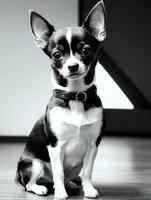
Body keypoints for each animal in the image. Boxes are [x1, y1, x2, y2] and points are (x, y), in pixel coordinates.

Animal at [15, 1, 106, 198]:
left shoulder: (92, 146)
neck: (76, 96)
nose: (72, 66)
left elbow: (87, 172)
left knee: (69, 176)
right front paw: (60, 194)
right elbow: (58, 172)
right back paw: (41, 188)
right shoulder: (56, 147)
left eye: (86, 50)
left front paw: (88, 189)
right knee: (30, 183)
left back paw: (70, 184)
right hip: (34, 164)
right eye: (57, 54)